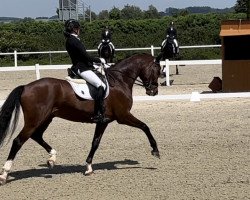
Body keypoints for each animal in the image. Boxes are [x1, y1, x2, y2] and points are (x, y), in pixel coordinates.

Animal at [0, 52, 160, 184]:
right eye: (158, 70)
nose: (153, 91)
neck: (120, 80)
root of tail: (26, 87)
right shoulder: (123, 116)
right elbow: (145, 126)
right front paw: (155, 151)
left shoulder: (103, 121)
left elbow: (95, 142)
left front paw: (88, 167)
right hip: (35, 120)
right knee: (18, 141)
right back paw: (4, 174)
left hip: (46, 118)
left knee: (36, 136)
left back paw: (52, 158)